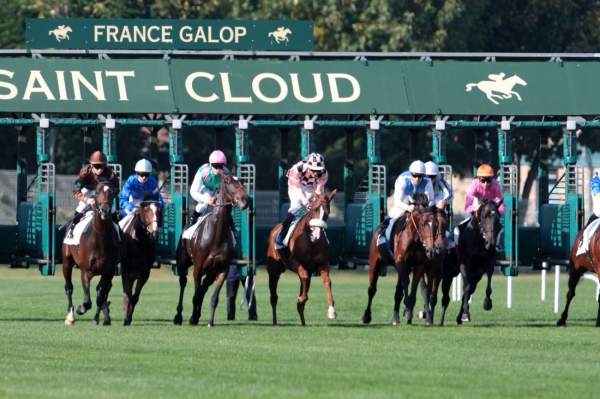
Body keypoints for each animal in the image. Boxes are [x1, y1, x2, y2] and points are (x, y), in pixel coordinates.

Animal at [62, 183, 120, 326]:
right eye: (97, 192)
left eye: (112, 193)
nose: (105, 210)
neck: (100, 239)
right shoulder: (85, 271)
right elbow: (87, 301)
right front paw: (80, 309)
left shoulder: (108, 272)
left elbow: (100, 295)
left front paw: (98, 318)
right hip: (66, 262)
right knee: (69, 287)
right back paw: (70, 316)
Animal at [172, 174, 250, 328]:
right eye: (228, 182)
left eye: (241, 182)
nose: (246, 201)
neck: (216, 236)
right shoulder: (198, 268)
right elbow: (196, 295)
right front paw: (193, 318)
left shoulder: (222, 270)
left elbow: (213, 297)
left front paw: (209, 321)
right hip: (183, 262)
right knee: (183, 282)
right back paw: (179, 316)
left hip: (211, 272)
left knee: (204, 287)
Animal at [268, 190, 338, 324]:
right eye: (315, 209)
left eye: (327, 213)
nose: (317, 235)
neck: (311, 241)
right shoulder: (295, 262)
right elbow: (304, 277)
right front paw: (302, 298)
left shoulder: (323, 263)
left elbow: (328, 281)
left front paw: (332, 310)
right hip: (274, 270)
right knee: (274, 296)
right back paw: (274, 321)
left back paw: (303, 321)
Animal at [360, 198, 440, 326]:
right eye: (423, 224)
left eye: (437, 225)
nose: (432, 250)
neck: (413, 238)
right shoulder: (402, 263)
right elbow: (406, 284)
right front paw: (407, 311)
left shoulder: (418, 266)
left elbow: (413, 287)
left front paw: (409, 313)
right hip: (374, 263)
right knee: (372, 290)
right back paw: (366, 316)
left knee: (398, 292)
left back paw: (396, 317)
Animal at [448, 198, 504, 326]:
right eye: (484, 216)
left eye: (498, 220)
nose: (491, 244)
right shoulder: (464, 264)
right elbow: (467, 288)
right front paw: (465, 313)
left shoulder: (486, 265)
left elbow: (488, 286)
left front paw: (487, 303)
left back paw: (459, 317)